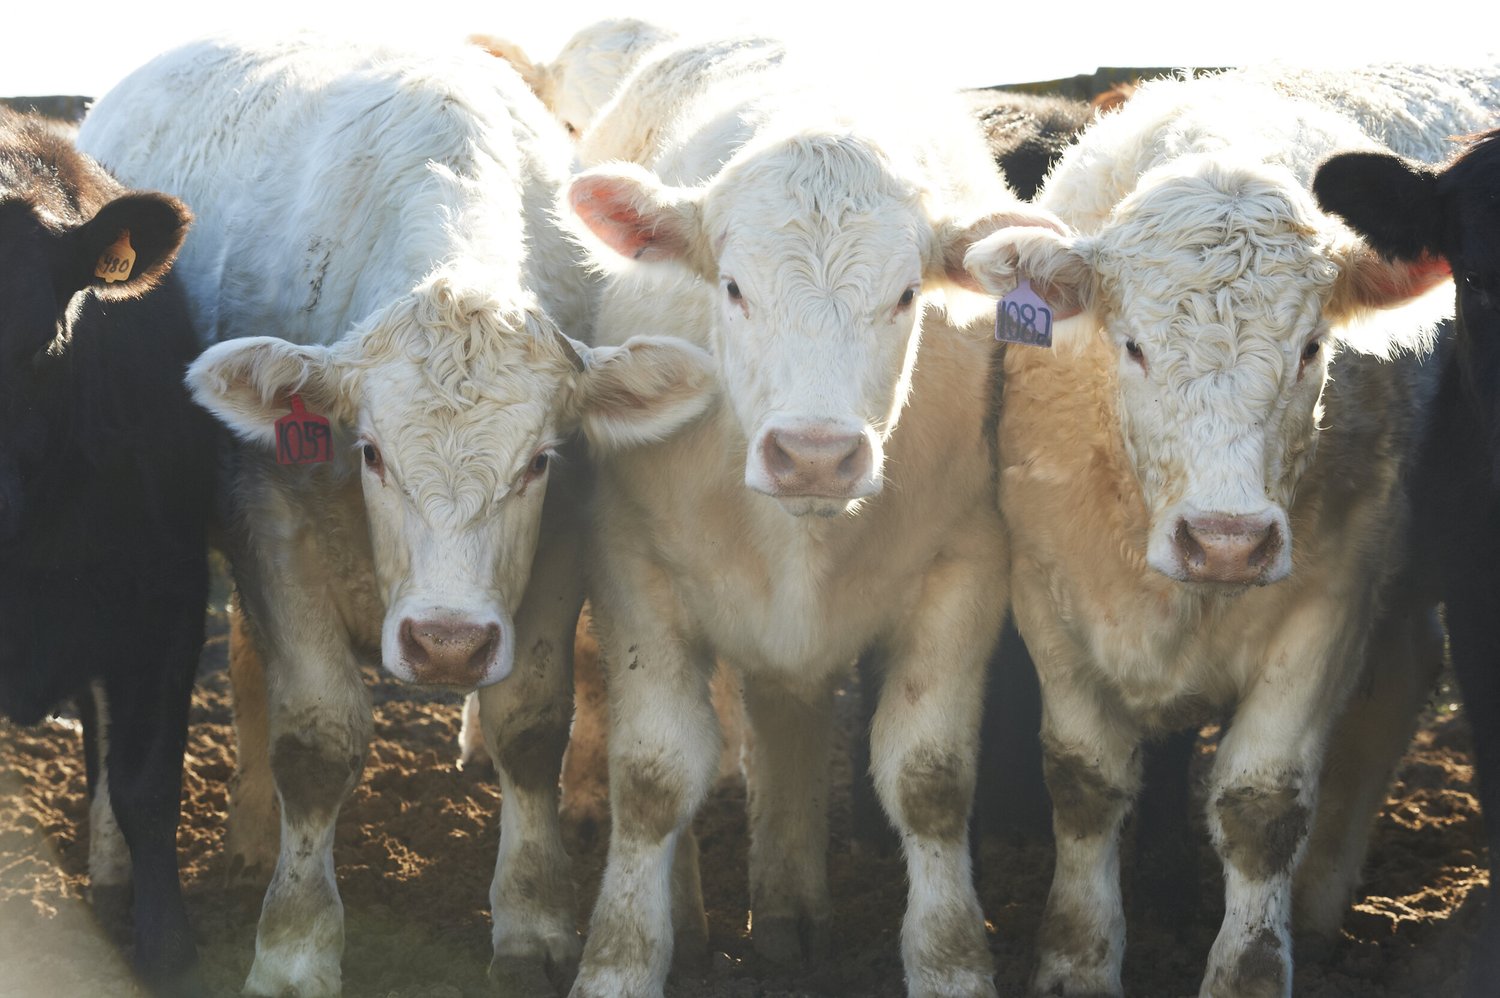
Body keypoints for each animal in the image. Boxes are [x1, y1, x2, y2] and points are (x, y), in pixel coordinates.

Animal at [78, 36, 716, 997]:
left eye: (538, 460)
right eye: (372, 451)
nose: (446, 643)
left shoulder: (561, 541)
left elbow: (529, 724)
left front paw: (531, 922)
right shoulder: (270, 520)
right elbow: (316, 742)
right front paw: (294, 946)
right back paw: (126, 865)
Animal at [559, 39, 1065, 998]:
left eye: (907, 295)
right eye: (732, 287)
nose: (816, 454)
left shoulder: (966, 567)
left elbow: (930, 782)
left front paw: (952, 962)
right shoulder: (631, 563)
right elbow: (652, 776)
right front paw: (618, 960)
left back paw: (790, 908)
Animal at [962, 70, 1464, 996]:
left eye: (1312, 348)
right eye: (1132, 345)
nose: (1226, 540)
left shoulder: (1333, 600)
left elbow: (1262, 807)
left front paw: (1250, 970)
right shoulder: (1046, 586)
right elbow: (1083, 782)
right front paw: (1075, 962)